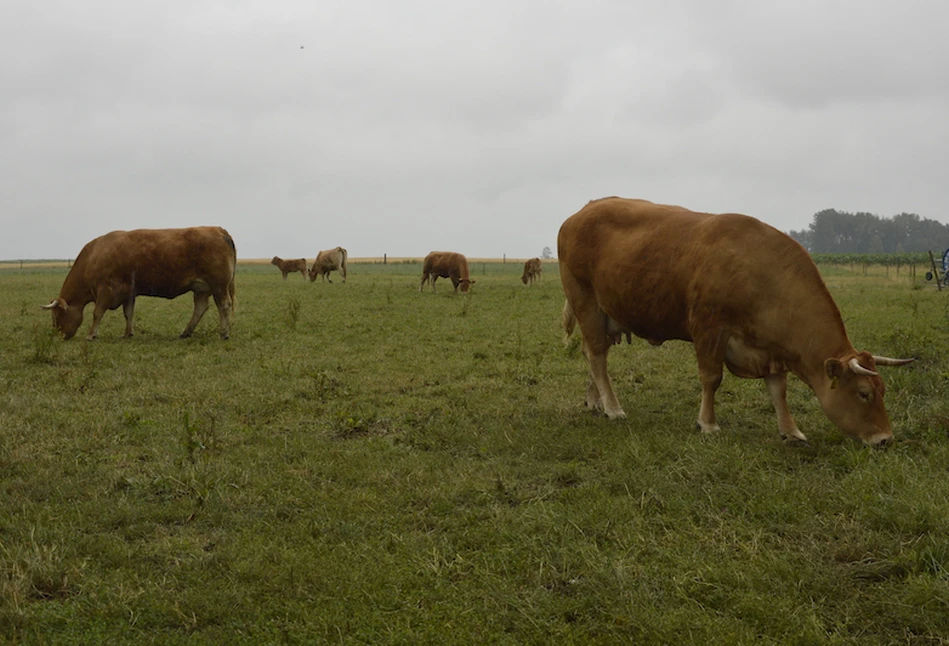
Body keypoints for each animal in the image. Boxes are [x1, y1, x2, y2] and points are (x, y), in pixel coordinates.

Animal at [42, 227, 237, 342]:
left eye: (57, 315)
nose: (59, 335)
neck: (94, 256)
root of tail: (218, 230)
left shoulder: (106, 290)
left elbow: (97, 313)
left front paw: (91, 334)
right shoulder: (128, 293)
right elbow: (128, 313)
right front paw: (128, 333)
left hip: (219, 285)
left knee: (224, 305)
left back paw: (224, 333)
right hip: (201, 288)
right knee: (201, 307)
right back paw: (186, 332)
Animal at [556, 197, 912, 448]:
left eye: (883, 390)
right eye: (864, 393)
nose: (885, 439)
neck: (760, 273)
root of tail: (580, 213)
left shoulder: (771, 349)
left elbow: (778, 390)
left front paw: (791, 430)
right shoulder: (709, 329)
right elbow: (711, 379)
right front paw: (708, 423)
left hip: (607, 314)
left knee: (594, 355)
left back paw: (596, 402)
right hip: (585, 300)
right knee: (597, 355)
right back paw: (613, 407)